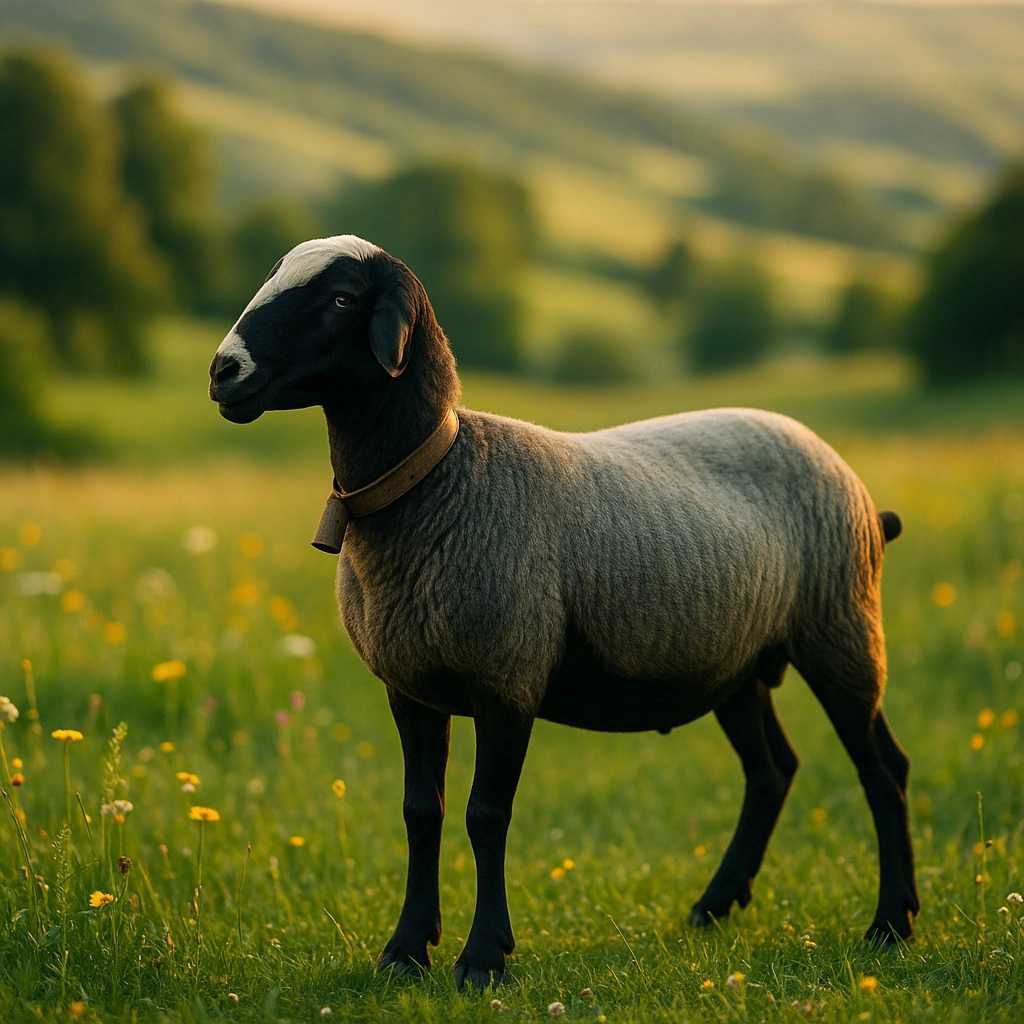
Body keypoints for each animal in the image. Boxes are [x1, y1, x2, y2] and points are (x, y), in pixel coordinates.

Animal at [209, 235, 918, 989]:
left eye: (341, 298)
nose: (223, 371)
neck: (443, 476)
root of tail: (855, 487)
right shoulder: (410, 688)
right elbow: (421, 812)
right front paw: (405, 950)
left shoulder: (508, 679)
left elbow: (486, 815)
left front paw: (483, 959)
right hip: (740, 664)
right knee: (772, 771)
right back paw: (715, 905)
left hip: (841, 629)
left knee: (883, 770)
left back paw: (891, 924)